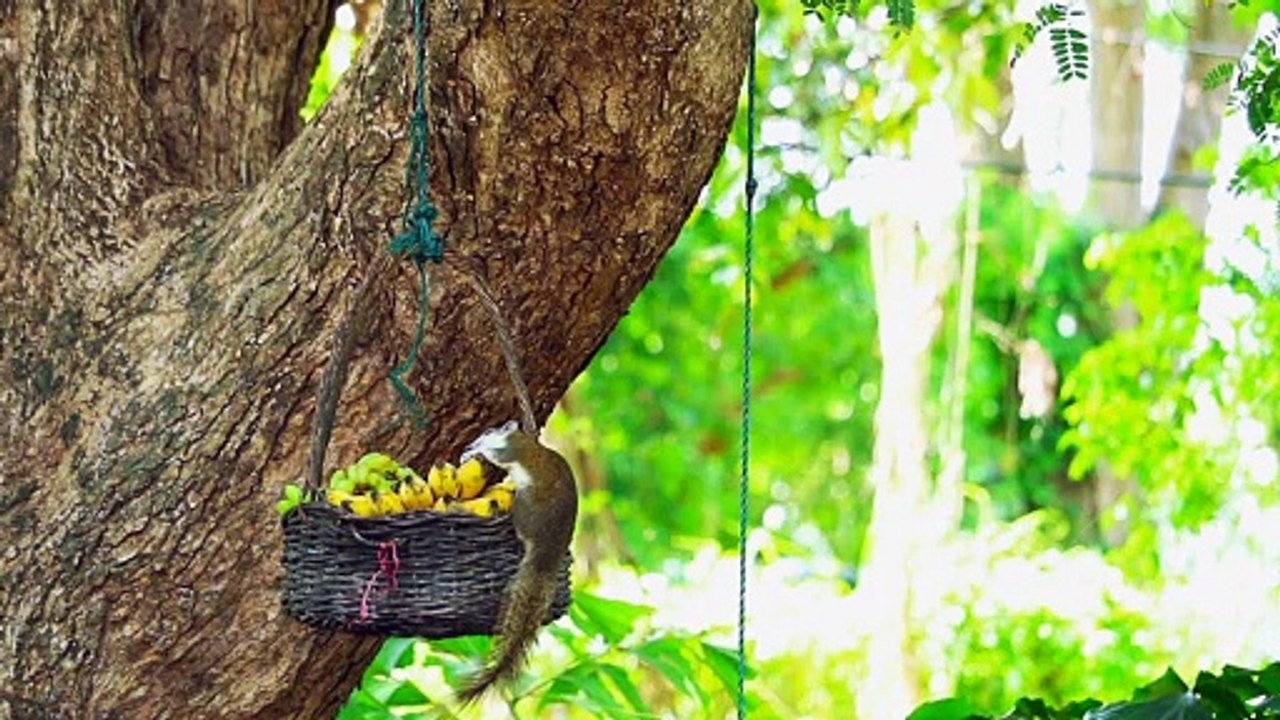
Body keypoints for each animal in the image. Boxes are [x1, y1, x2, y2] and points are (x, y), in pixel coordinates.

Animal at [456, 421, 578, 705]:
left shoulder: (508, 451)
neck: (518, 437)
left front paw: (473, 452)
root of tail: (548, 551)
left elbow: (495, 456)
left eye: (489, 430)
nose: (471, 442)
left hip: (525, 504)